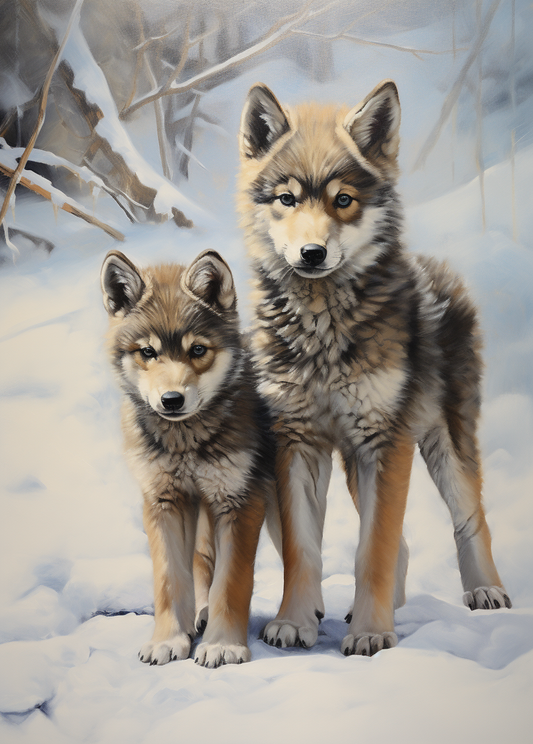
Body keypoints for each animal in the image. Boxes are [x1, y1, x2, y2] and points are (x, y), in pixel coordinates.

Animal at [101, 249, 275, 668]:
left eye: (198, 350)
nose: (171, 400)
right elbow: (169, 579)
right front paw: (168, 640)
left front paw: (223, 645)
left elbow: (233, 581)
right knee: (200, 560)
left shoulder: (241, 502)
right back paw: (200, 614)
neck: (185, 441)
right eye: (148, 352)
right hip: (198, 508)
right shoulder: (163, 501)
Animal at [237, 80, 511, 657]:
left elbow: (374, 550)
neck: (322, 327)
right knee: (401, 542)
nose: (312, 253)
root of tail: (437, 266)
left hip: (441, 445)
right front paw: (295, 622)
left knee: (470, 518)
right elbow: (303, 550)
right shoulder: (298, 442)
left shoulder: (387, 442)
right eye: (287, 199)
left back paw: (485, 592)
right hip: (356, 466)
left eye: (343, 200)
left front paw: (370, 632)